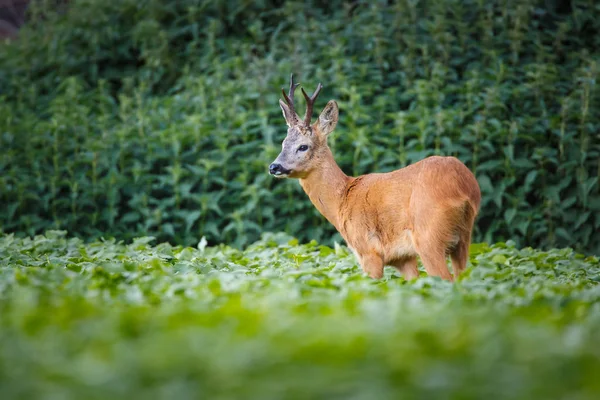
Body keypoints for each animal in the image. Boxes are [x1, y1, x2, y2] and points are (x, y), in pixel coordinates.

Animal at [270, 76, 480, 282]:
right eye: (283, 143)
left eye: (303, 146)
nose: (274, 166)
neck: (342, 199)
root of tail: (464, 187)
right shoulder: (403, 258)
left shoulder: (368, 251)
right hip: (463, 238)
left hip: (429, 236)